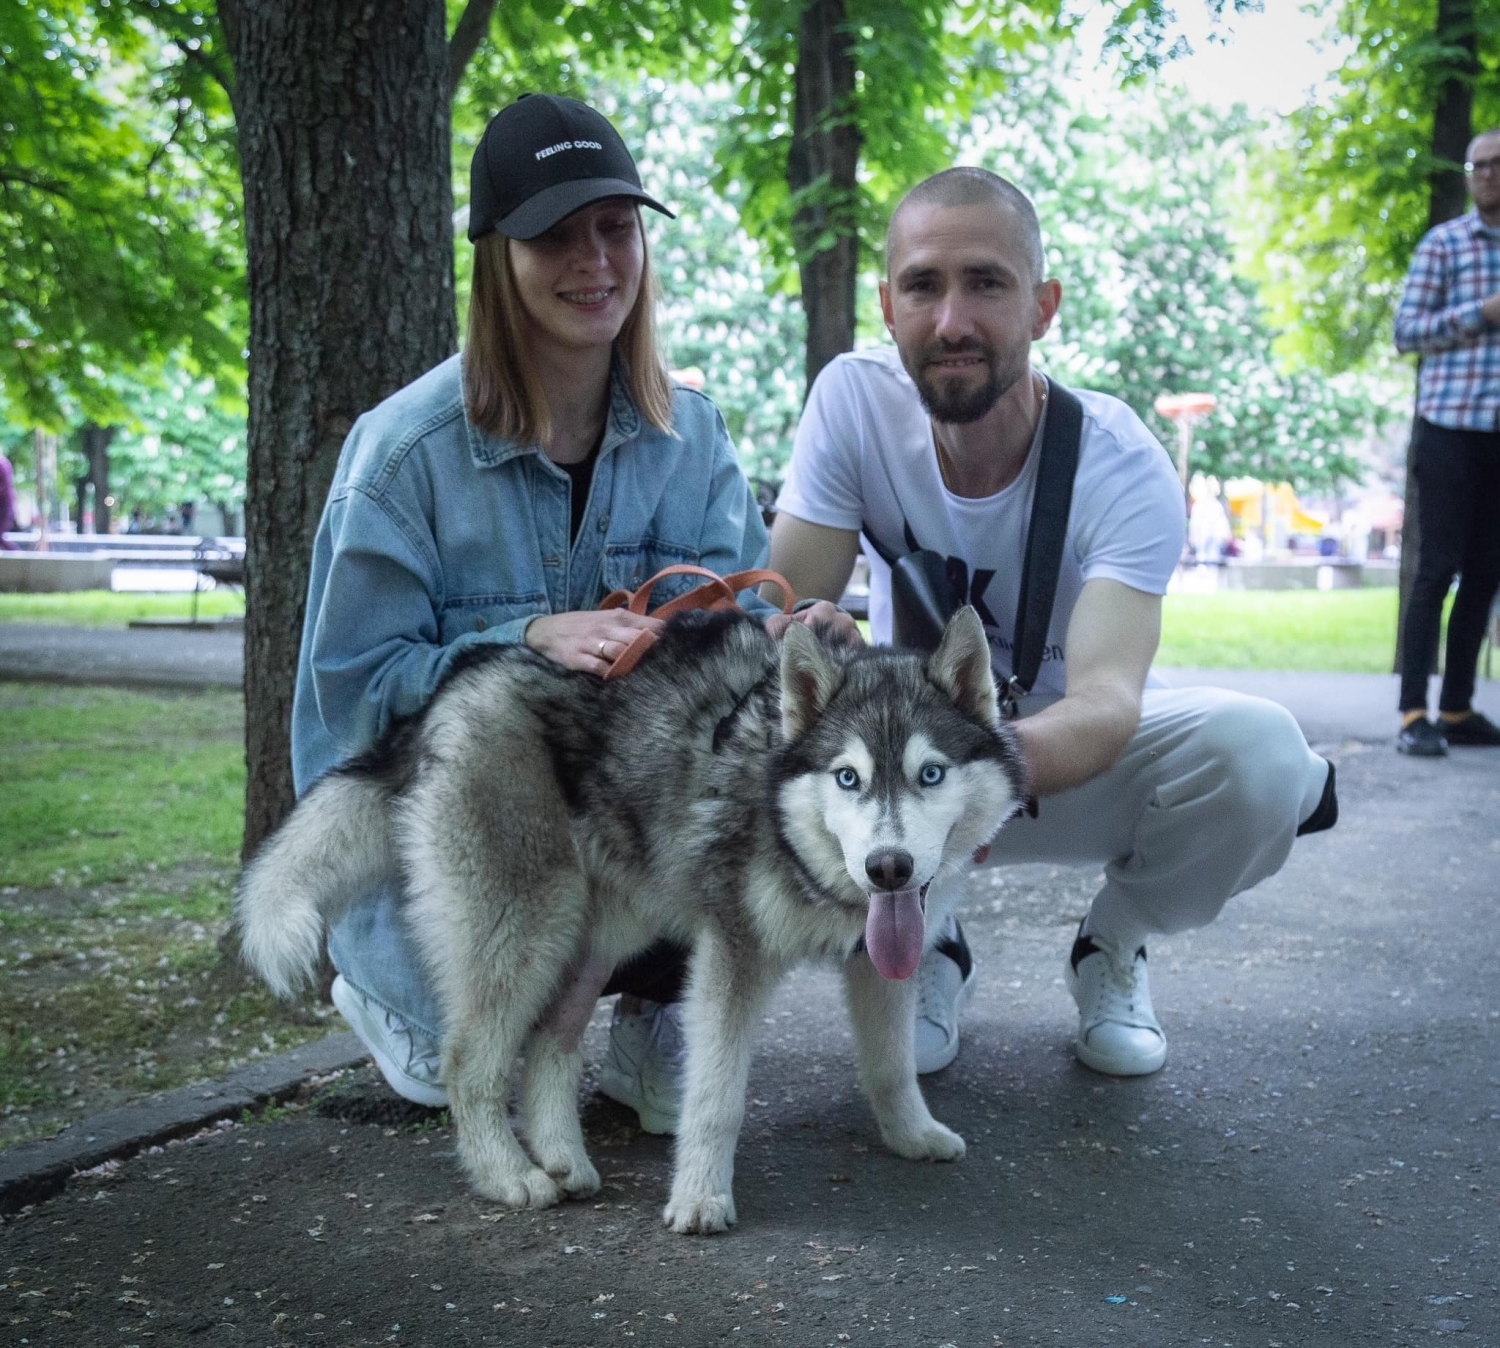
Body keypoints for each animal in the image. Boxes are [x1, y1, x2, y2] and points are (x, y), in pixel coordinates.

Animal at [240, 605, 1026, 1241]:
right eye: (848, 778)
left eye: (930, 774)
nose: (889, 868)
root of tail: (459, 681)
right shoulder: (731, 955)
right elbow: (716, 1096)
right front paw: (701, 1197)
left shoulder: (879, 960)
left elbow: (892, 1066)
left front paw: (912, 1135)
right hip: (528, 929)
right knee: (470, 1062)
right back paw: (506, 1174)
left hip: (594, 935)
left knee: (550, 1044)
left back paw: (563, 1158)